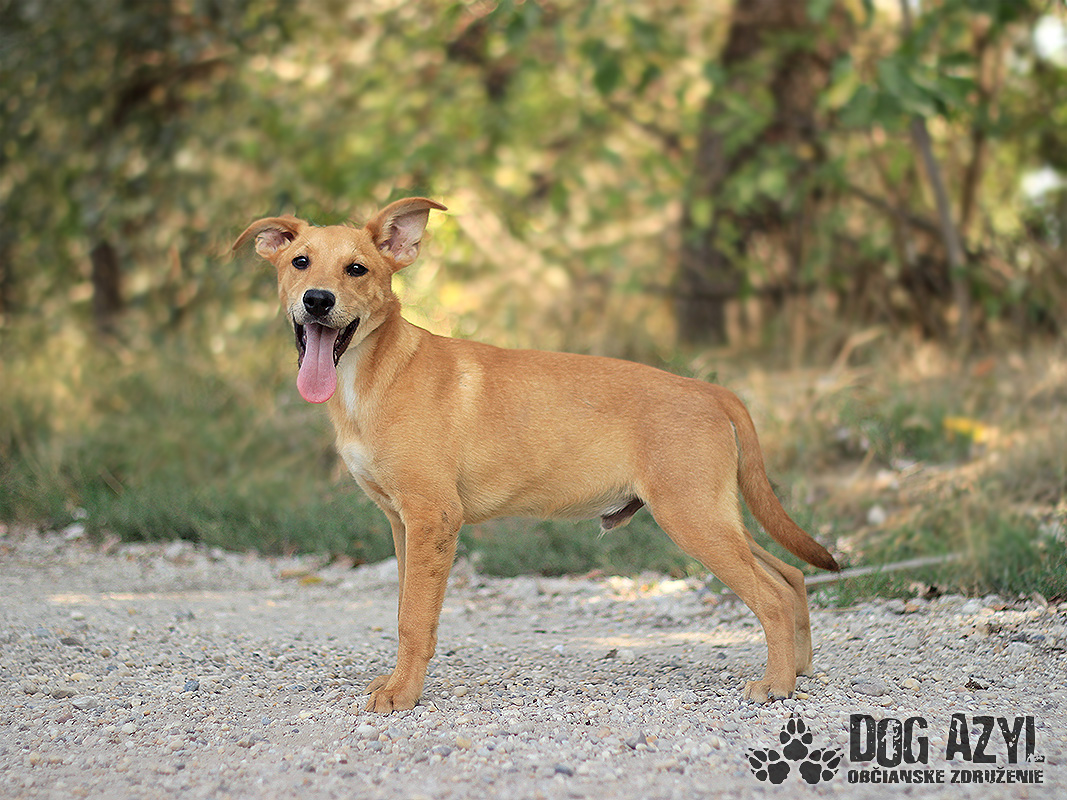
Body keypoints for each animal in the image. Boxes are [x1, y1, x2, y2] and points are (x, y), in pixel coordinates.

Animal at [234, 197, 839, 713]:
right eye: (300, 262)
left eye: (357, 270)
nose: (317, 301)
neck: (374, 374)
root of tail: (709, 389)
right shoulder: (402, 523)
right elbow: (407, 609)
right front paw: (397, 681)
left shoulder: (434, 517)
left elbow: (414, 619)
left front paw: (402, 696)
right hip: (713, 514)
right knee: (791, 575)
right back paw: (799, 670)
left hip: (692, 517)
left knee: (772, 595)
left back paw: (775, 686)